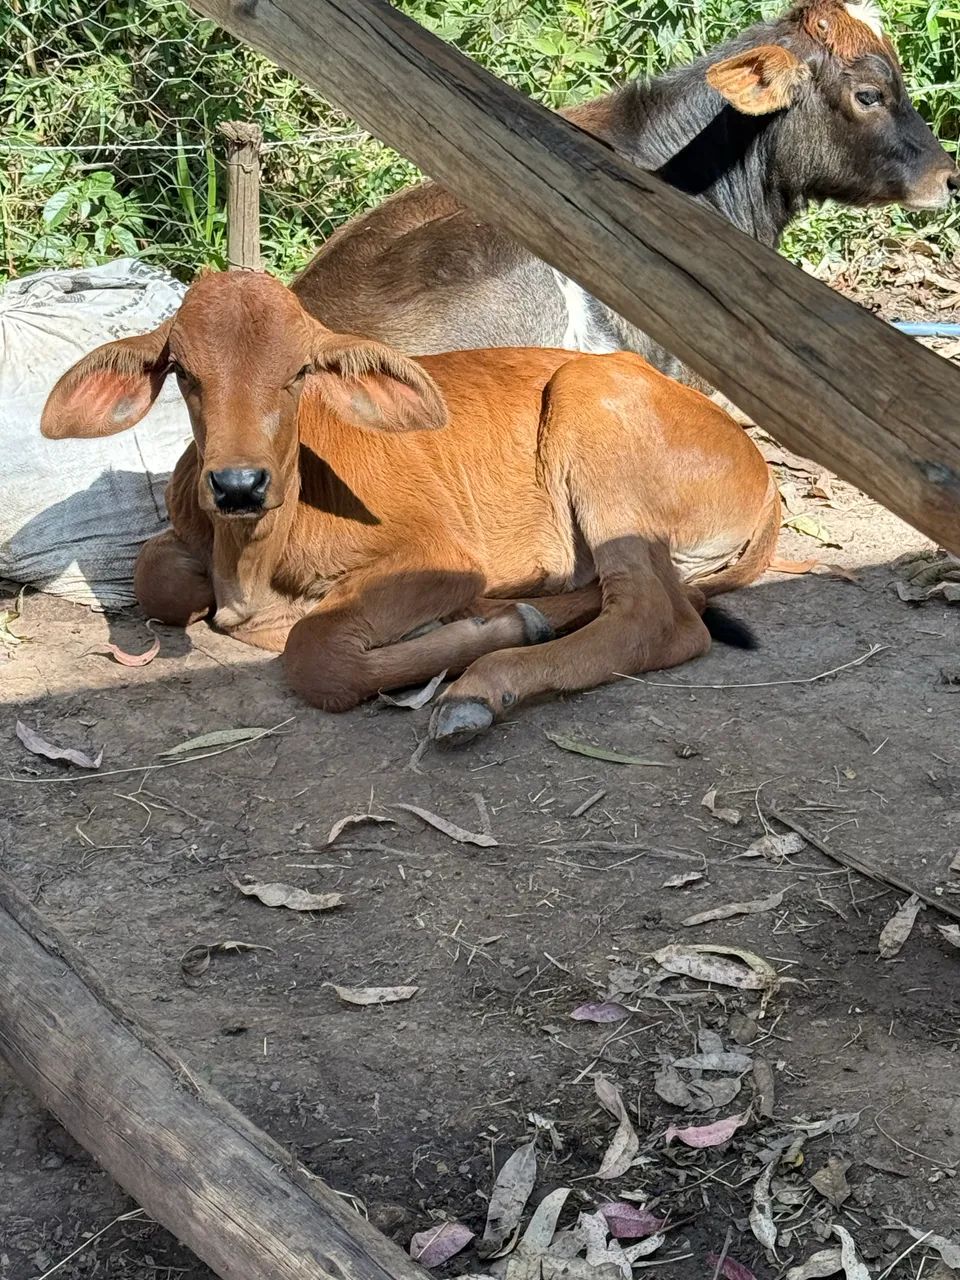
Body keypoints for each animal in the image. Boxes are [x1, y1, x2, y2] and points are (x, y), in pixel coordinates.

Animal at [41, 271, 780, 745]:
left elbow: (317, 654)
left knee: (660, 618)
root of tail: (757, 466)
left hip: (591, 408)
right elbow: (155, 579)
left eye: (299, 372)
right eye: (185, 373)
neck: (253, 556)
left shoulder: (440, 555)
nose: (239, 485)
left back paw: (481, 683)